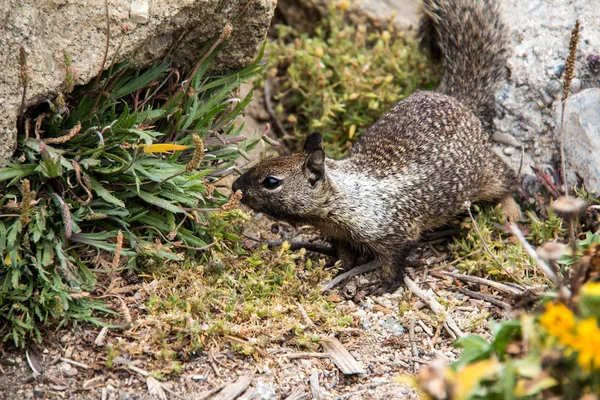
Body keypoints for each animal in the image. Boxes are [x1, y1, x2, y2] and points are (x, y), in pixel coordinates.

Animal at [233, 0, 520, 290]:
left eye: (271, 182)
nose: (235, 187)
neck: (346, 196)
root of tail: (456, 98)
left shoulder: (396, 233)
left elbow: (393, 261)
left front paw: (383, 283)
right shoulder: (337, 234)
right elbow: (345, 255)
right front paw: (338, 268)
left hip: (484, 173)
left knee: (507, 178)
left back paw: (510, 211)